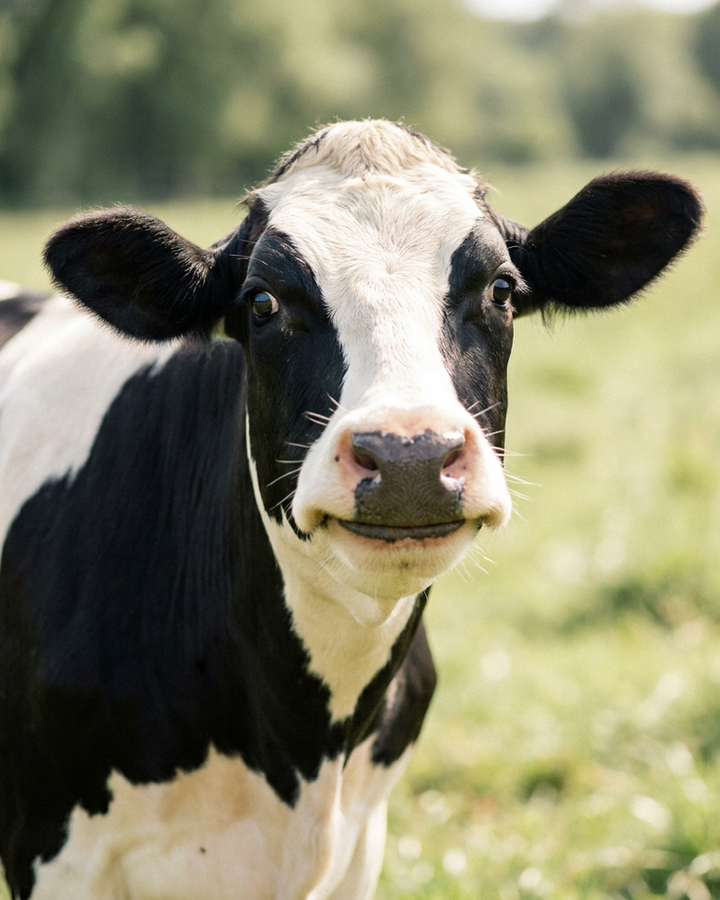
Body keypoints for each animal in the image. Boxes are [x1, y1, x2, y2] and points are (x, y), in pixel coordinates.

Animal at [0, 120, 702, 900]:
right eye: (263, 303)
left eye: (501, 289)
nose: (409, 456)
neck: (303, 747)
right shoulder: (54, 848)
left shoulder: (359, 846)